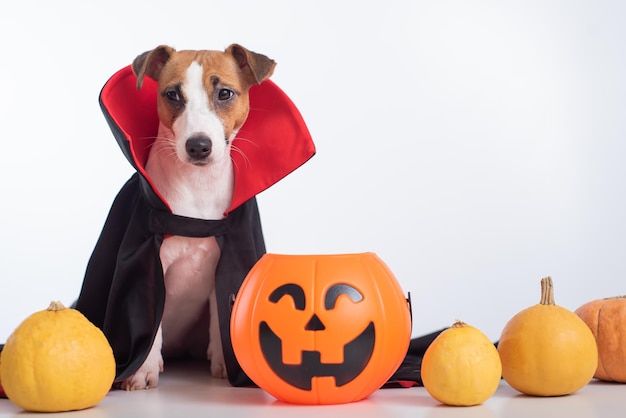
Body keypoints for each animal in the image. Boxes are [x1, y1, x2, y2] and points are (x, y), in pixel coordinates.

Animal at [119, 44, 276, 390]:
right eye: (172, 95)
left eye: (225, 93)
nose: (198, 146)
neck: (197, 186)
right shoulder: (153, 265)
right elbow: (151, 321)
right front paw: (143, 369)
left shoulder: (223, 262)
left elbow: (221, 315)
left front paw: (224, 364)